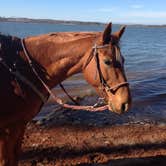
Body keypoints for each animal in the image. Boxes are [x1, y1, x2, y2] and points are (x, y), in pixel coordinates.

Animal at [0, 23, 131, 165]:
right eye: (107, 62)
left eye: (123, 60)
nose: (125, 104)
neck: (22, 68)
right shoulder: (7, 129)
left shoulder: (19, 125)